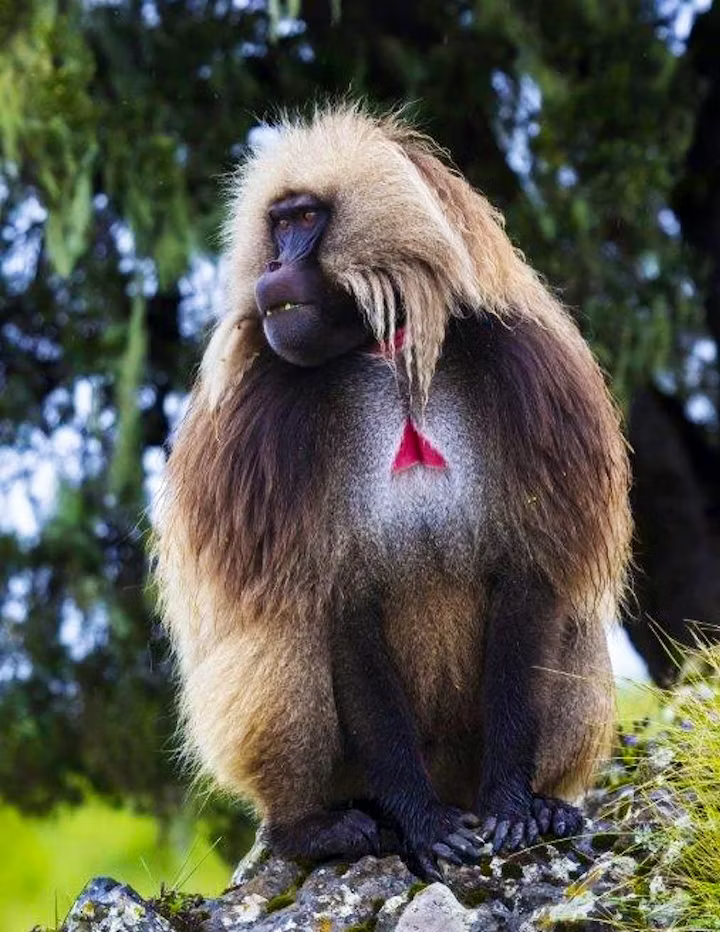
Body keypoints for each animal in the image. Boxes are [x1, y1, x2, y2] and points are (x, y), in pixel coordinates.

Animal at [156, 104, 632, 880]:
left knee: (571, 621)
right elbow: (337, 605)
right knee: (287, 631)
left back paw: (550, 805)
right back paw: (314, 829)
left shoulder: (532, 377)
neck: (386, 348)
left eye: (306, 218)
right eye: (278, 223)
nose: (275, 268)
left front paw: (512, 806)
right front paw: (423, 825)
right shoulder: (268, 425)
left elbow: (531, 579)